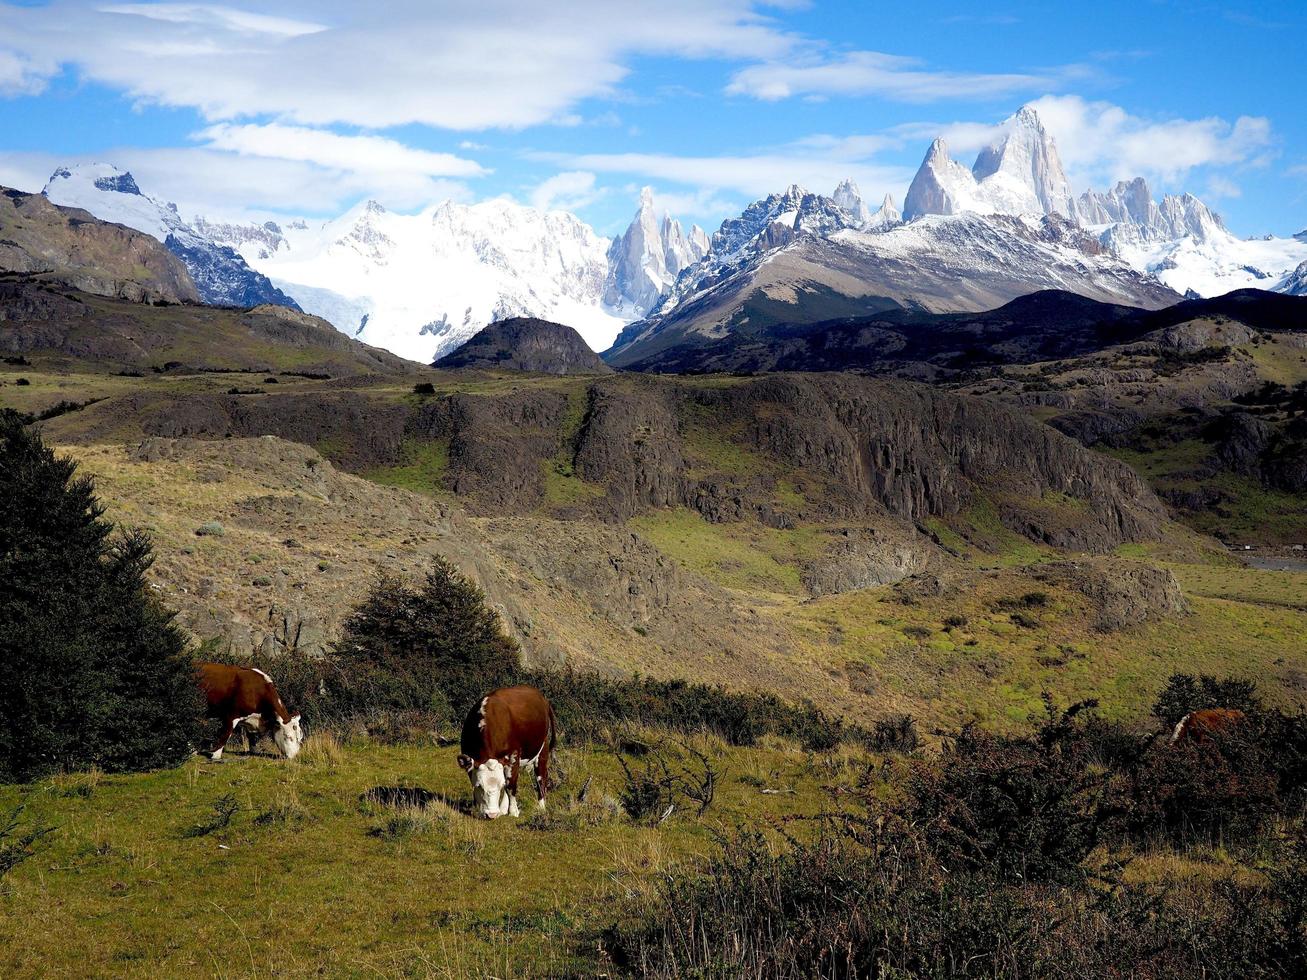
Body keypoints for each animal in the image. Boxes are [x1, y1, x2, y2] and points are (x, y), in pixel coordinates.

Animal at [457, 684, 554, 820]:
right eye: (479, 786)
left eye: (500, 786)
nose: (491, 814)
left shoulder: (513, 756)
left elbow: (510, 785)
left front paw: (513, 812)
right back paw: (503, 808)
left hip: (543, 747)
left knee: (541, 777)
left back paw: (540, 806)